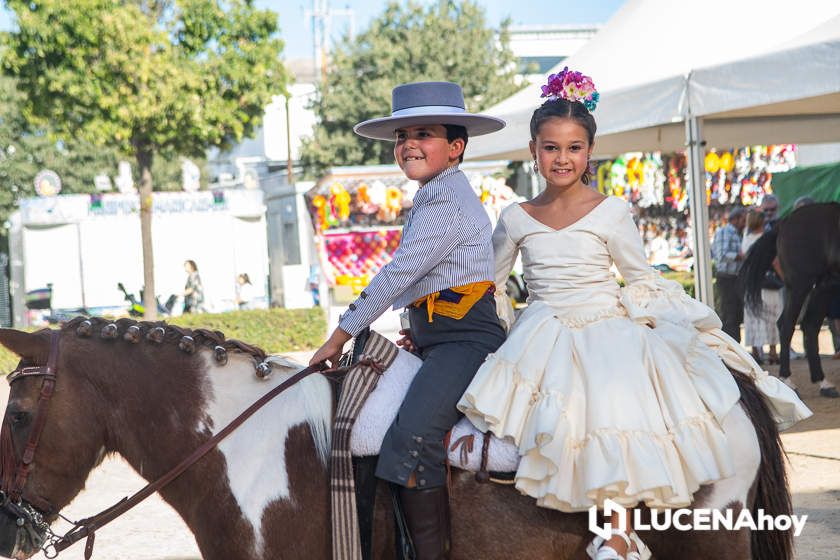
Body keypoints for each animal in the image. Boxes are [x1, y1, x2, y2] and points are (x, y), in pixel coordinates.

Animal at [740, 201, 840, 390]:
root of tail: (785, 221)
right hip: (801, 284)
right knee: (787, 325)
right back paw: (786, 378)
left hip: (825, 285)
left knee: (810, 325)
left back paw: (822, 381)